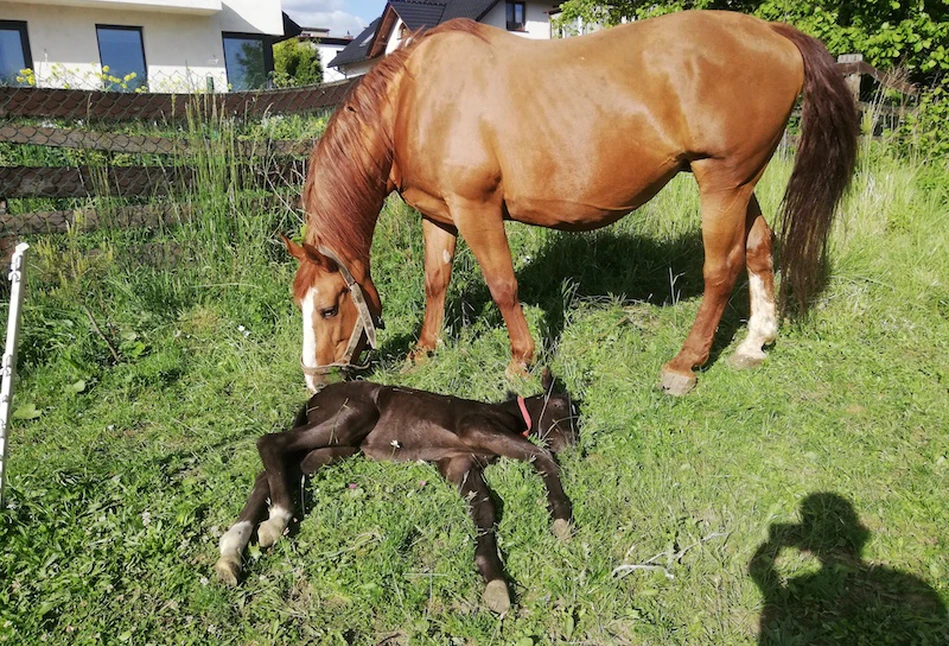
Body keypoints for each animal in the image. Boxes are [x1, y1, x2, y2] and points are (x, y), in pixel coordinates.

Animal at [215, 372, 576, 616]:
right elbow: (541, 455)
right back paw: (276, 520)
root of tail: (315, 398)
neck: (506, 415)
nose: (573, 445)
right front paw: (561, 521)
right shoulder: (475, 428)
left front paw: (495, 583)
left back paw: (231, 551)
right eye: (561, 404)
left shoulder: (458, 465)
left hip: (336, 448)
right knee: (271, 442)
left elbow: (485, 509)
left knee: (275, 469)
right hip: (350, 417)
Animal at [286, 11, 856, 394]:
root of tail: (772, 33)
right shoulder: (438, 212)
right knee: (760, 247)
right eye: (299, 304)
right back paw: (755, 342)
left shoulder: (476, 208)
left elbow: (503, 284)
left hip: (721, 180)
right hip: (740, 181)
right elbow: (436, 281)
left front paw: (521, 360)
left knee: (722, 267)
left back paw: (683, 365)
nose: (315, 383)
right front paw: (425, 351)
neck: (414, 99)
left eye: (329, 306)